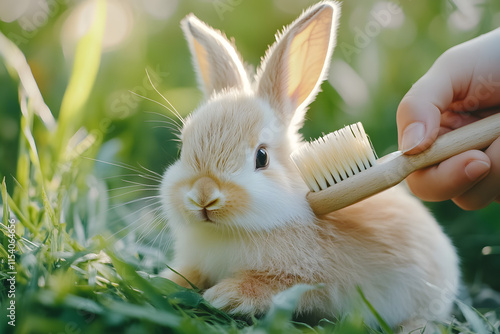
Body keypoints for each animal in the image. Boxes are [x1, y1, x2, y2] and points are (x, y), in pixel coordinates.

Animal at [159, 1, 458, 332]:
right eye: (182, 149)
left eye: (261, 157)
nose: (203, 196)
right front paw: (165, 281)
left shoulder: (306, 278)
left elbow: (276, 286)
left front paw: (225, 295)